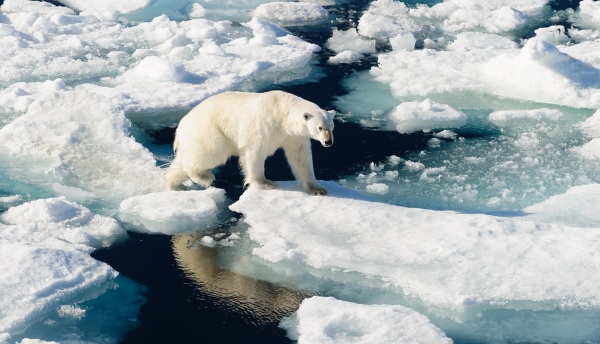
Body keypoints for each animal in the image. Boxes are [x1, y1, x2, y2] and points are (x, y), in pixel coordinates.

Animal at [163, 90, 332, 195]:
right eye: (320, 127)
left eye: (332, 127)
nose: (328, 142)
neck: (283, 112)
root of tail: (180, 127)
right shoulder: (264, 124)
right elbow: (255, 152)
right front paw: (266, 183)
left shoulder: (294, 136)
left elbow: (300, 157)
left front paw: (318, 189)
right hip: (210, 132)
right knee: (210, 154)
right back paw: (205, 178)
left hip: (193, 139)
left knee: (182, 160)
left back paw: (174, 184)